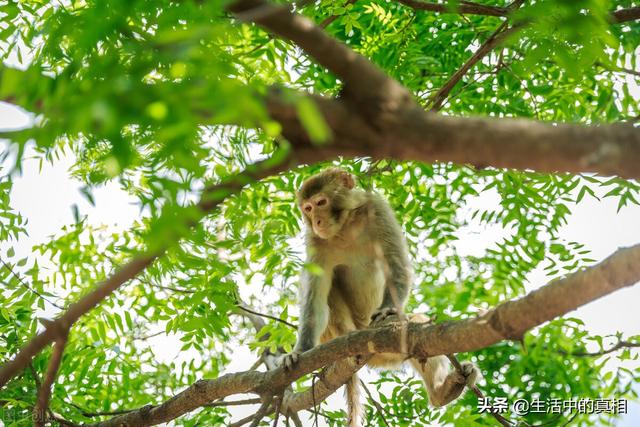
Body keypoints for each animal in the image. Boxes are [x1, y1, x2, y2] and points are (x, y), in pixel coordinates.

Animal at [282, 169, 478, 426]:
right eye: (307, 208)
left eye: (321, 203)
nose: (317, 221)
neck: (345, 227)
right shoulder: (316, 241)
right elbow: (315, 300)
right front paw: (300, 350)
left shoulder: (377, 209)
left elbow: (397, 265)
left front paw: (386, 309)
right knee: (331, 290)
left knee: (415, 326)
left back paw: (442, 392)